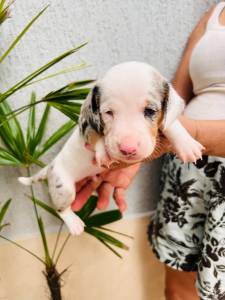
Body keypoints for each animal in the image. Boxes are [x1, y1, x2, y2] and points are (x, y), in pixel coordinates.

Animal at [18, 62, 204, 237]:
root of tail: (51, 167)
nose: (128, 148)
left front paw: (187, 143)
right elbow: (97, 136)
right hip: (64, 187)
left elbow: (171, 124)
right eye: (108, 112)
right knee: (60, 209)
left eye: (150, 111)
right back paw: (74, 223)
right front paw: (103, 152)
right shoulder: (85, 128)